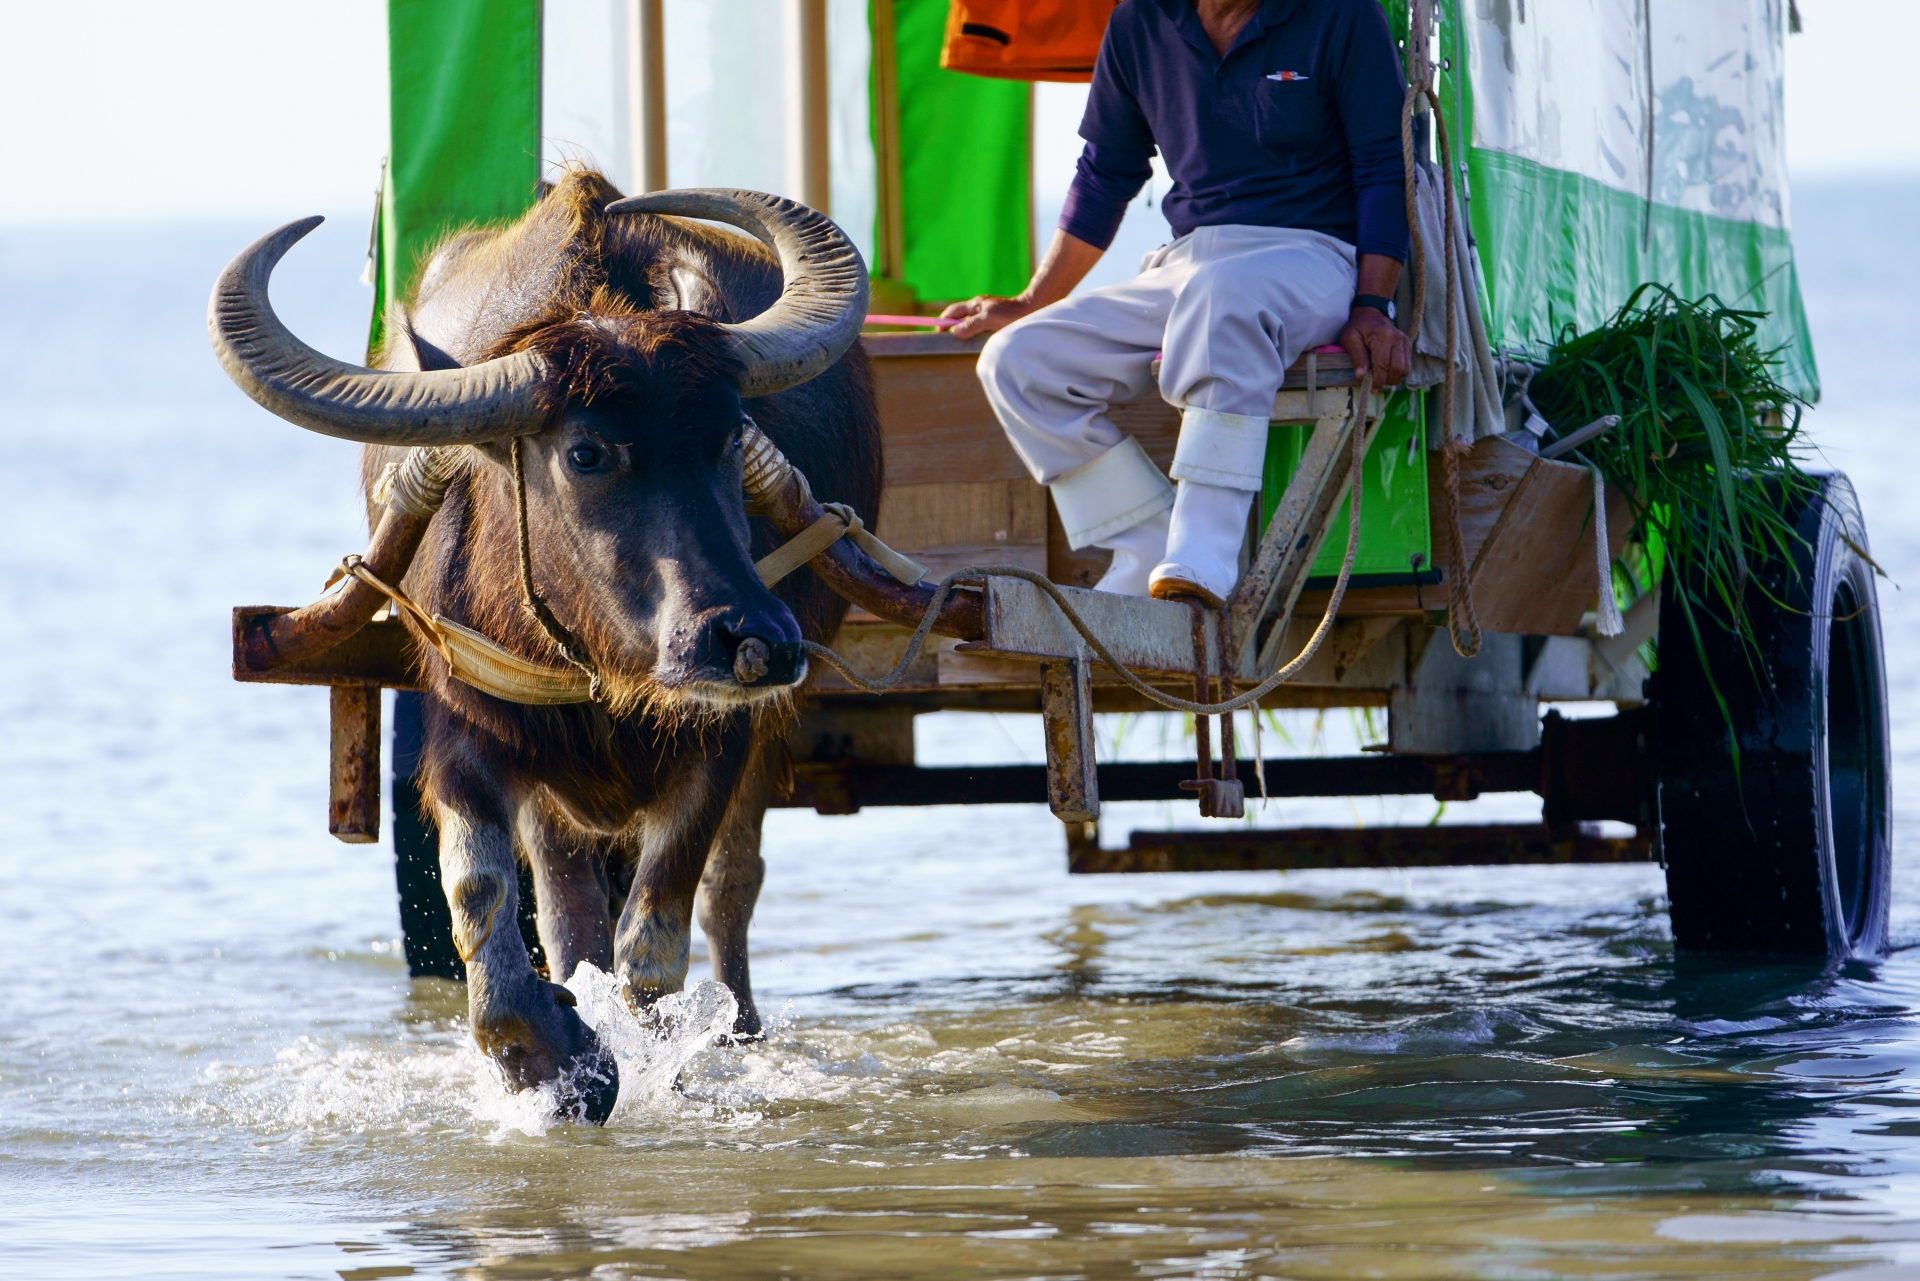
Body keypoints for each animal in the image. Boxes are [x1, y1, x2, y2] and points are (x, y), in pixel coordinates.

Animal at [208, 172, 879, 1121]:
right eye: (587, 452)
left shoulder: (724, 736)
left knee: (730, 886)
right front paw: (556, 1060)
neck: (601, 671)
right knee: (568, 906)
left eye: (727, 437)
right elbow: (482, 897)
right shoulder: (468, 728)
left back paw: (739, 1031)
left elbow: (658, 934)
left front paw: (648, 1051)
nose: (754, 640)